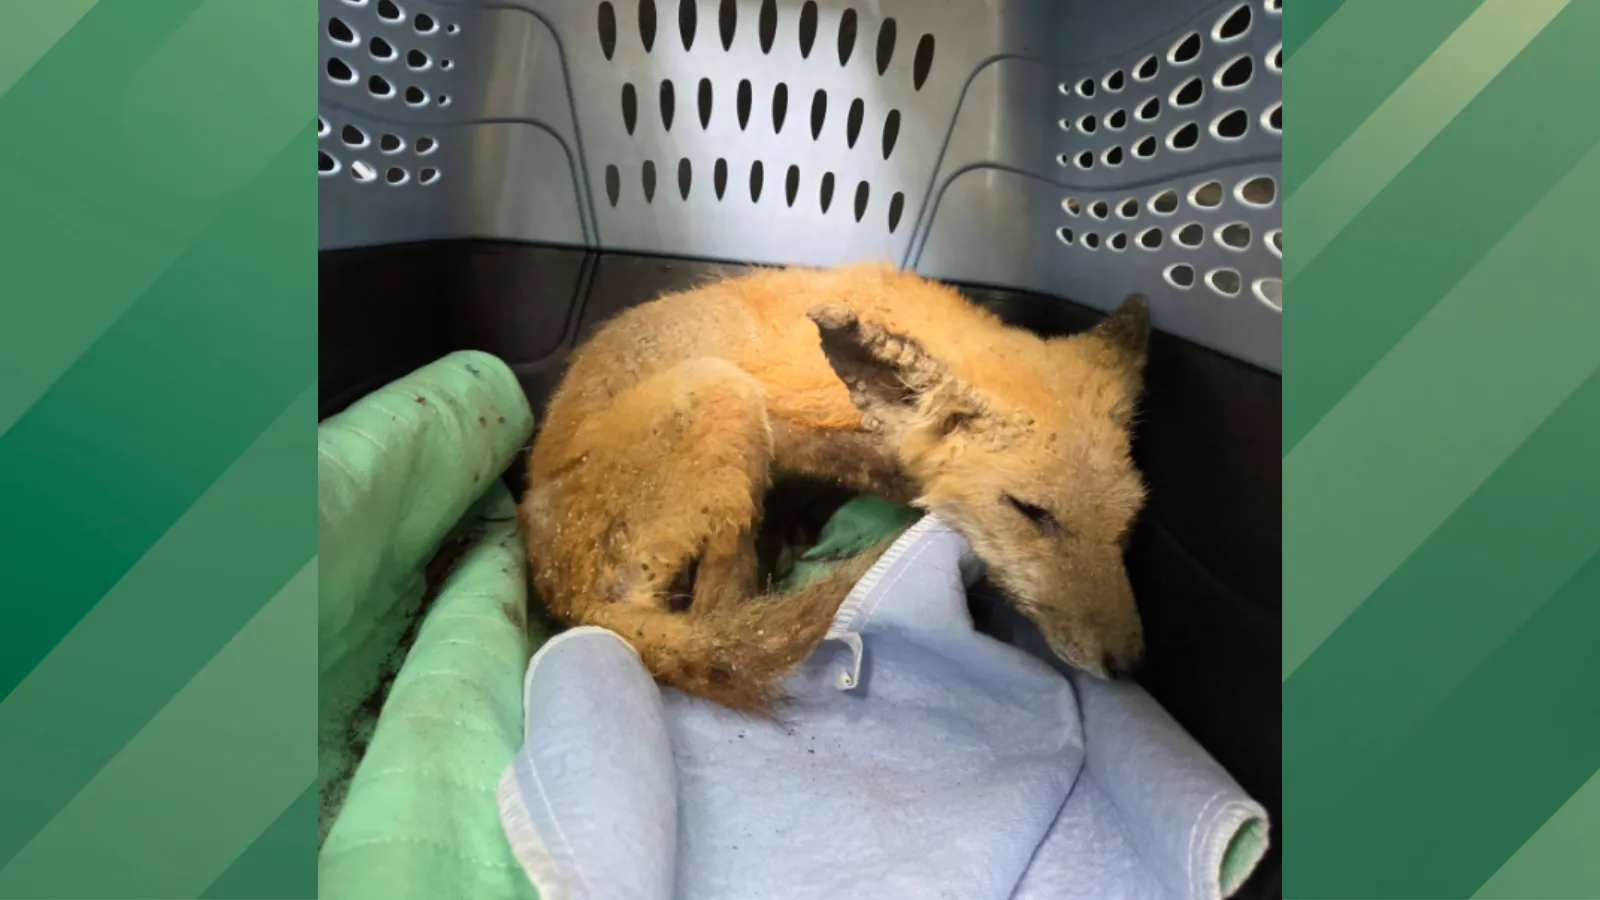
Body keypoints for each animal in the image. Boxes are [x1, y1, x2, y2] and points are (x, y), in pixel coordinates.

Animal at [519, 262, 1150, 712]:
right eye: (1030, 511)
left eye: (1128, 524)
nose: (1126, 664)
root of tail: (565, 601)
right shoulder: (781, 423)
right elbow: (861, 460)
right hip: (724, 394)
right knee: (721, 609)